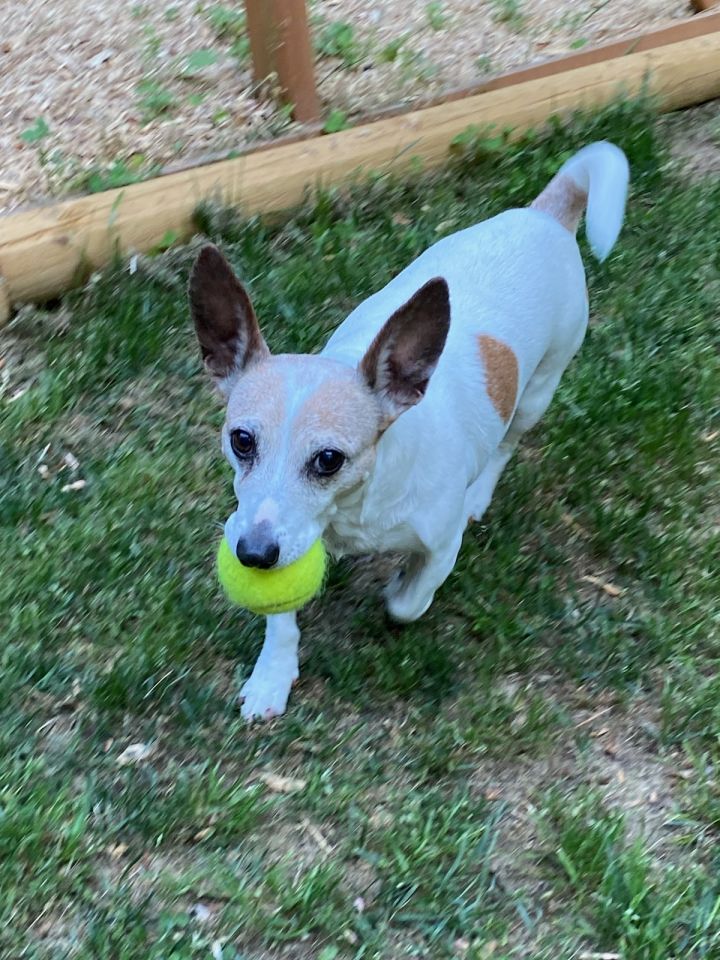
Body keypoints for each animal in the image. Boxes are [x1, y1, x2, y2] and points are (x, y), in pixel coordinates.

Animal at [190, 139, 632, 716]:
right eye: (241, 441)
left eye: (329, 459)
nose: (253, 555)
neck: (357, 510)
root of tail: (546, 214)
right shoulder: (280, 538)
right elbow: (281, 619)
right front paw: (271, 678)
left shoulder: (439, 548)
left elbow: (408, 602)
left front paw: (399, 582)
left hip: (538, 390)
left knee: (507, 444)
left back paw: (478, 496)